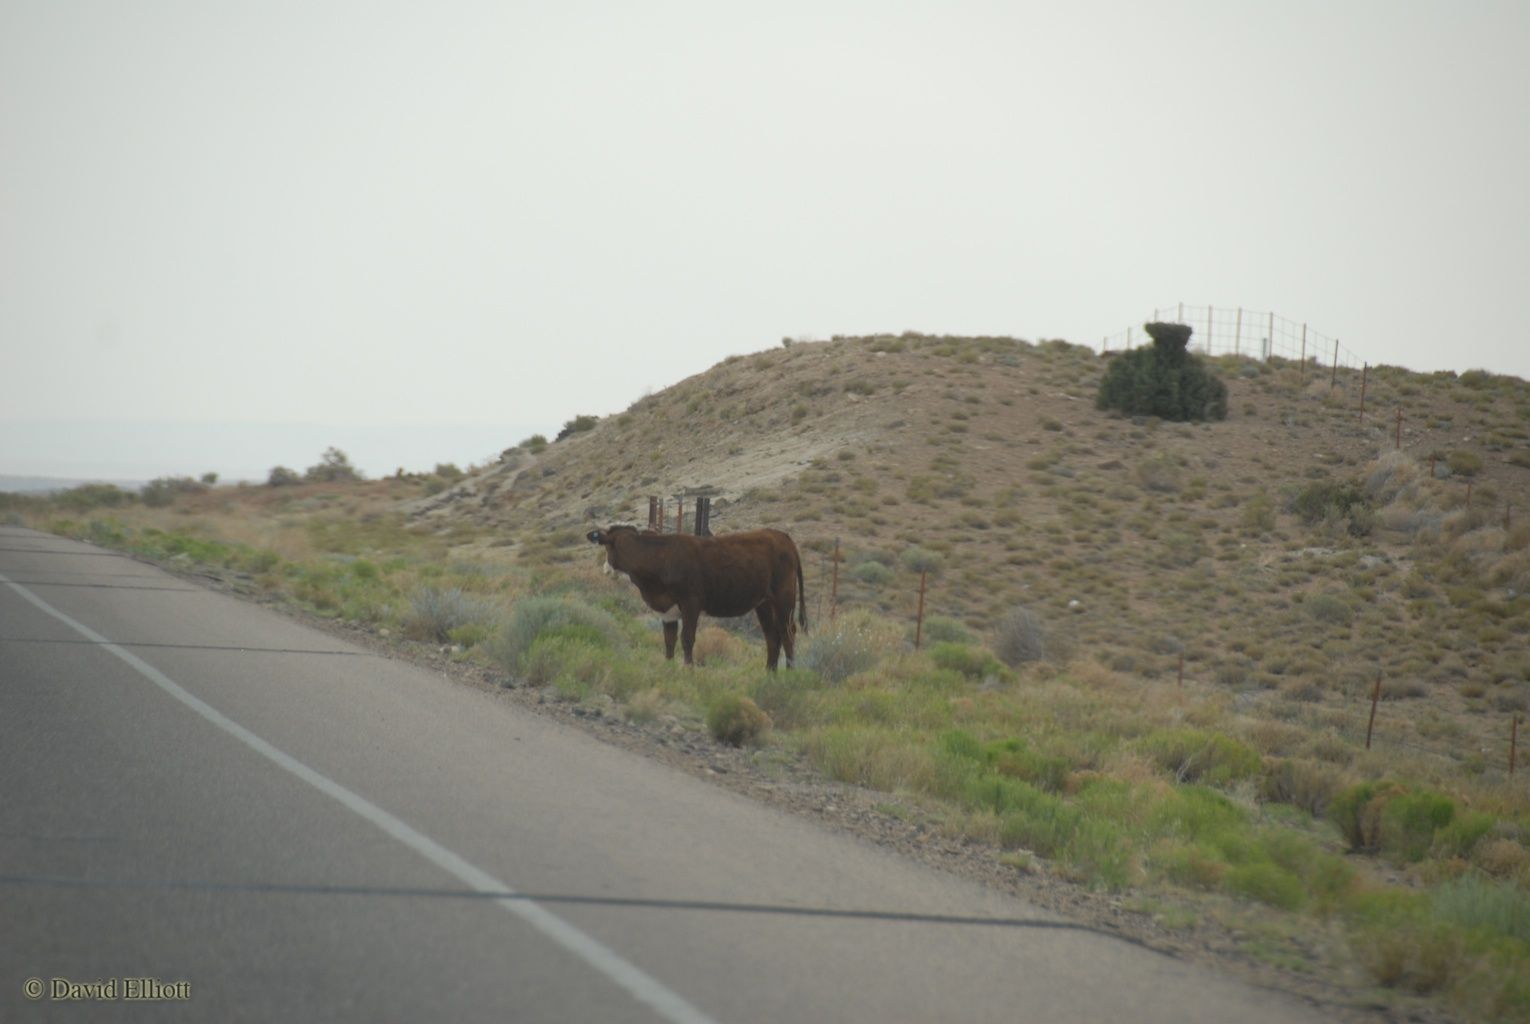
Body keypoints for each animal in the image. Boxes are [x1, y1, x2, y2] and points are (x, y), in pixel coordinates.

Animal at [586, 525, 808, 670]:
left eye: (607, 547)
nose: (605, 569)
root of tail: (782, 536)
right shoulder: (668, 609)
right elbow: (669, 640)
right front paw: (668, 669)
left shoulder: (690, 602)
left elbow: (687, 638)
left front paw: (688, 669)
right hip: (763, 603)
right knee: (772, 636)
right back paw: (769, 675)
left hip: (784, 597)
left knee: (787, 633)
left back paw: (789, 674)